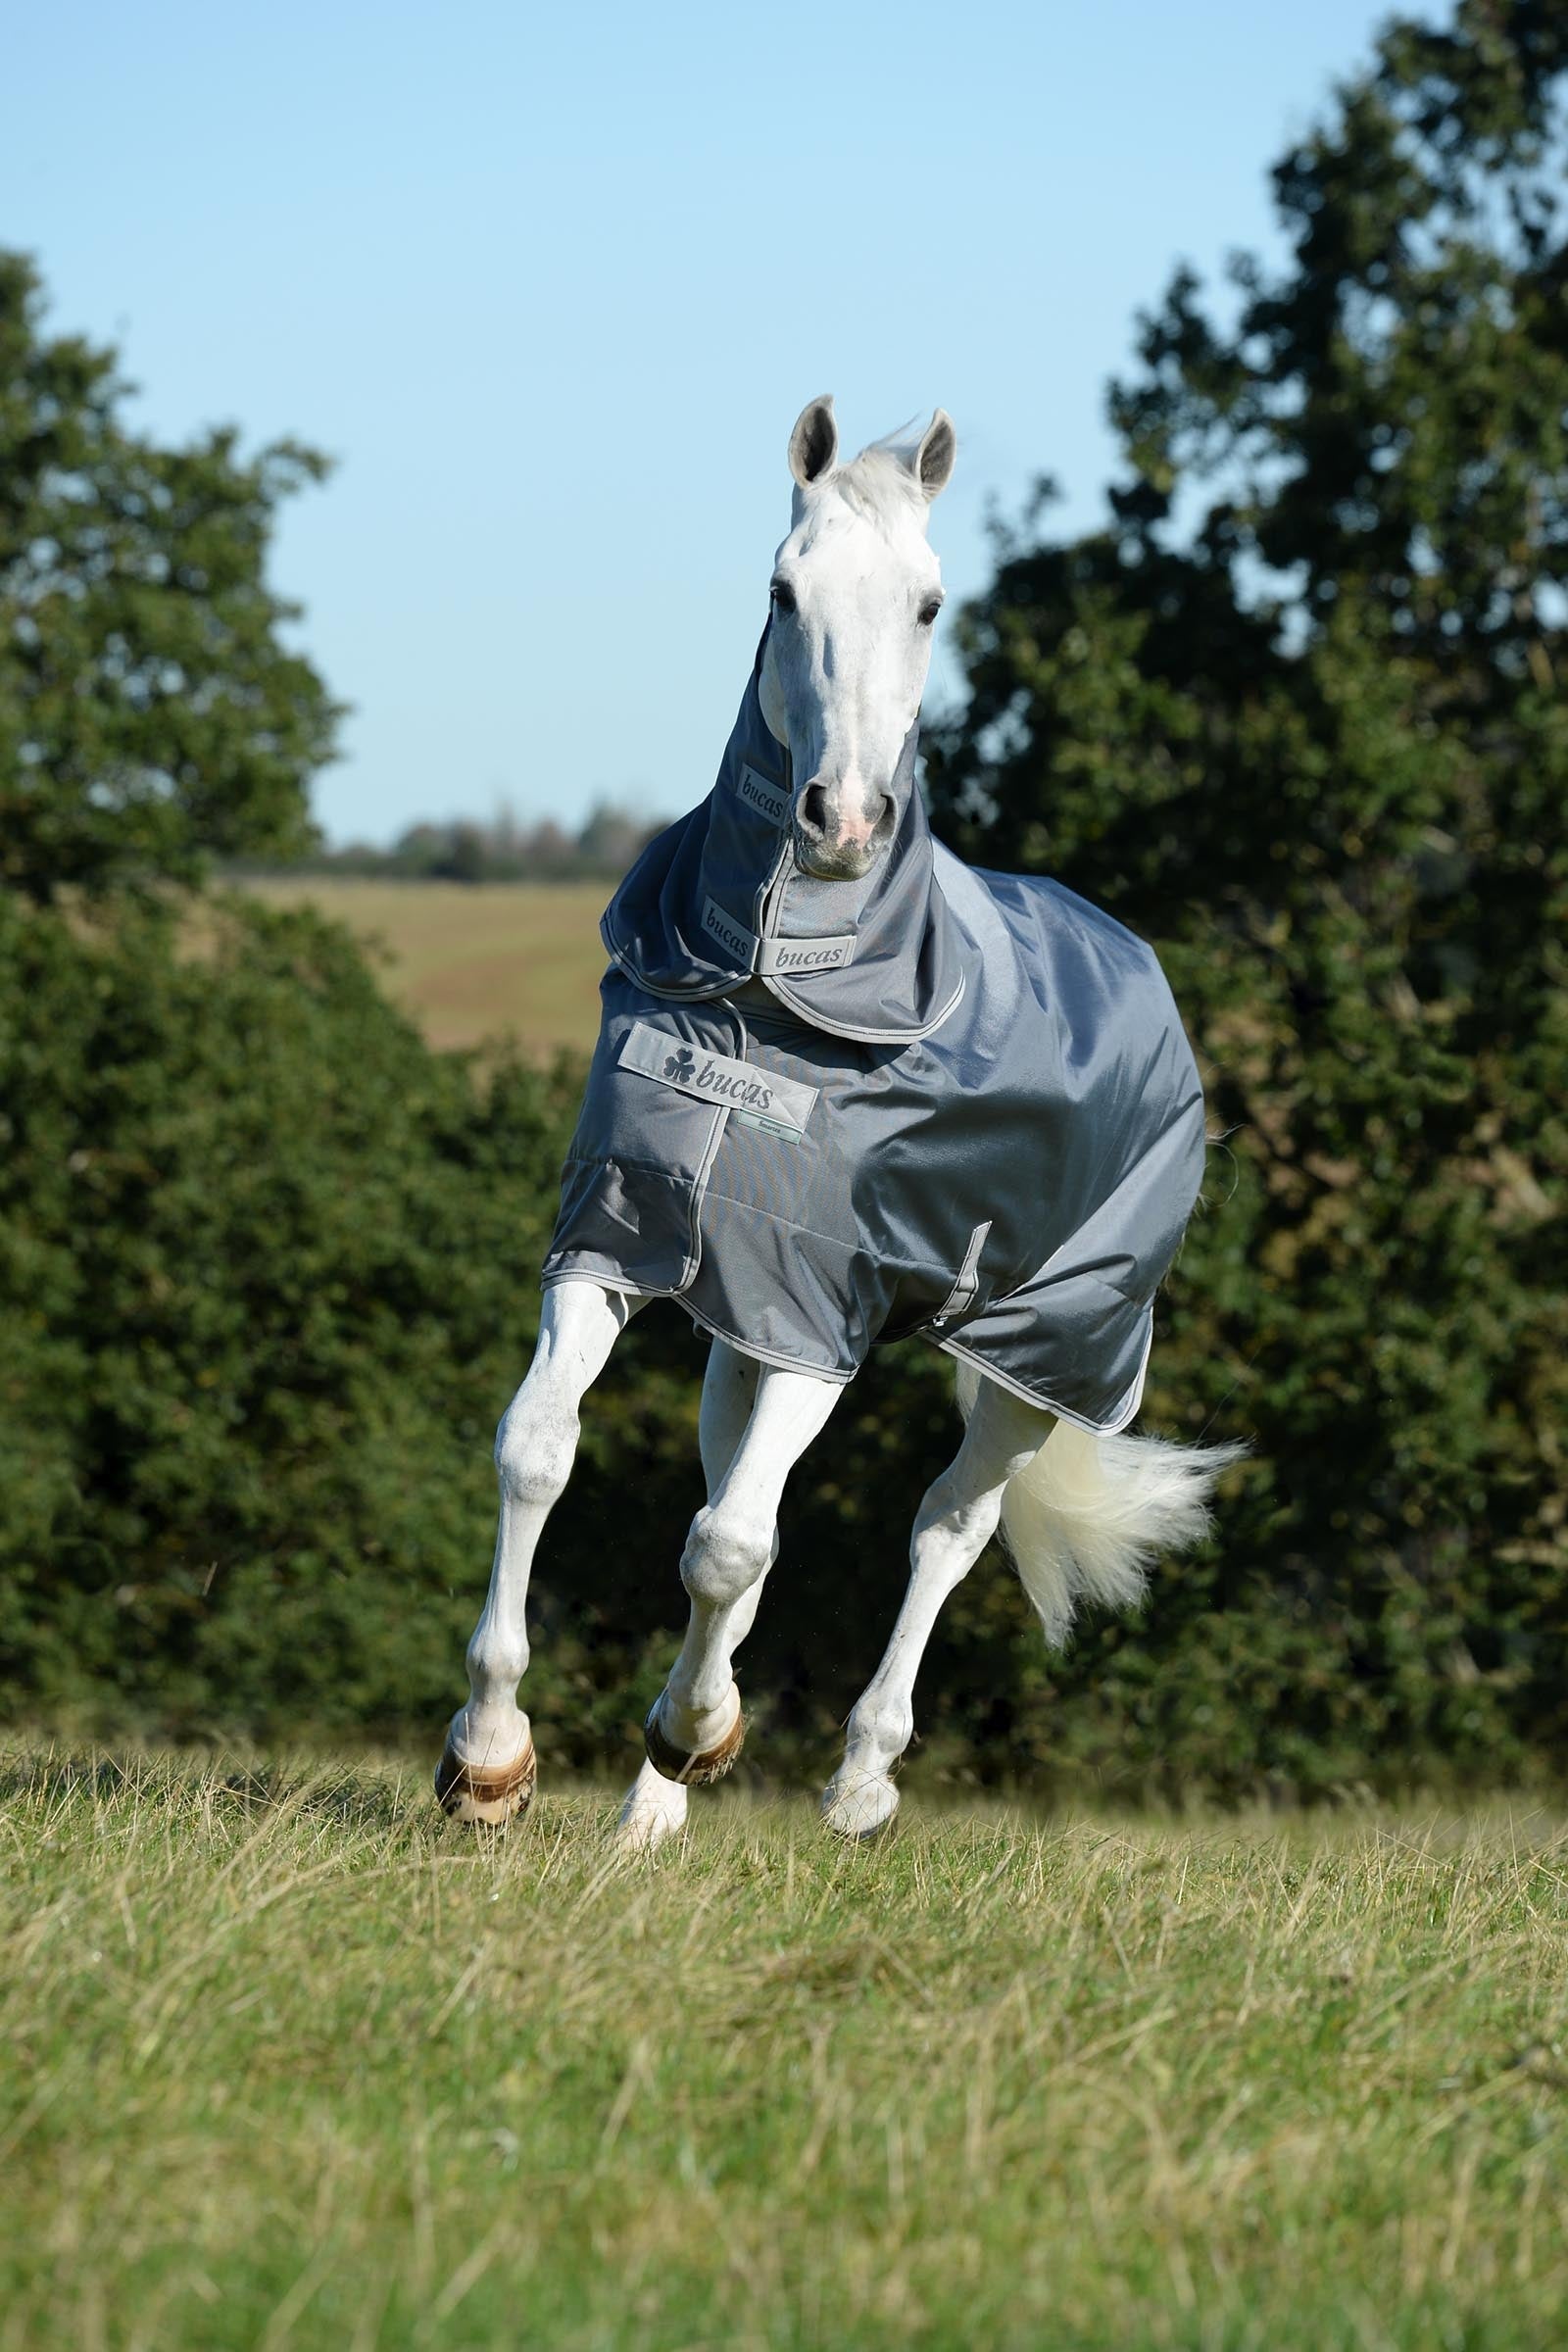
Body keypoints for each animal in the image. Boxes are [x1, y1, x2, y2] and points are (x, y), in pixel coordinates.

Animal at [435, 397, 1236, 1848]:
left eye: (930, 603)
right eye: (782, 590)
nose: (846, 820)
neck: (768, 988)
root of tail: (1135, 964)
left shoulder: (825, 1315)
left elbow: (732, 1542)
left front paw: (696, 1731)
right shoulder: (633, 1248)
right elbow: (544, 1456)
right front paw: (493, 1755)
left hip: (1040, 1354)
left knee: (945, 1530)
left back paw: (858, 1779)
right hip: (741, 1332)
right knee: (740, 1501)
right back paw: (653, 1809)